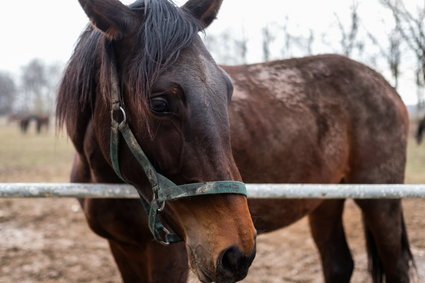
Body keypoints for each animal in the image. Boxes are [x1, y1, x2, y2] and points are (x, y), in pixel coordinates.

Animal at [56, 0, 410, 283]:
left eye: (227, 91)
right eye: (159, 103)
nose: (237, 252)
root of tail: (387, 86)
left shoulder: (169, 255)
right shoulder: (123, 247)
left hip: (381, 201)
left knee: (396, 265)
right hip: (325, 200)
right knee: (338, 263)